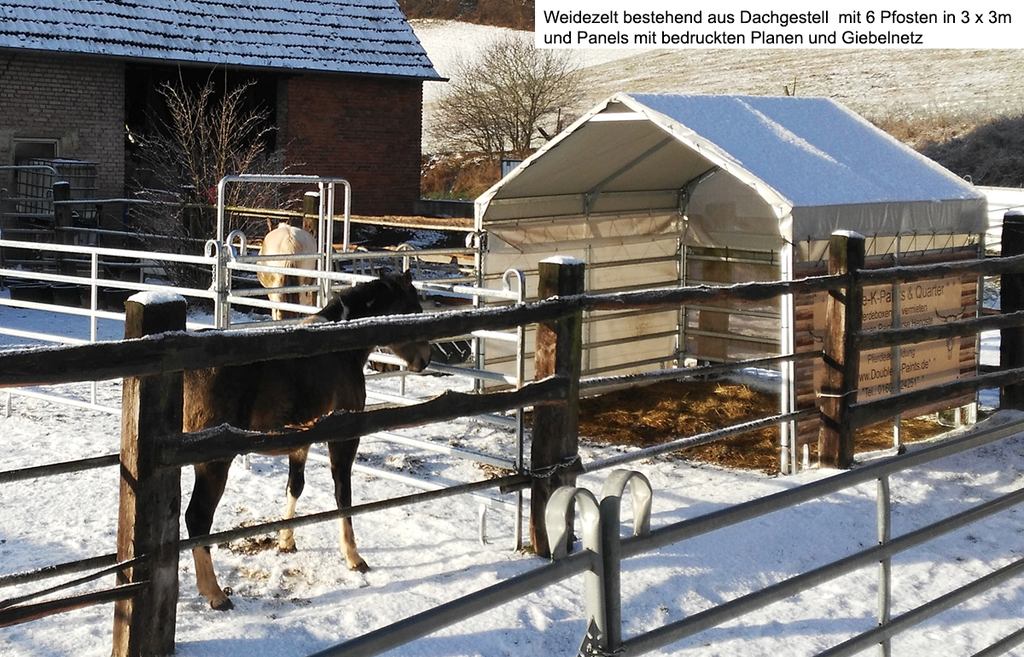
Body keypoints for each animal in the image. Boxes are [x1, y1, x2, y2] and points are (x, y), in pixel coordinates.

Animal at [183, 271, 432, 610]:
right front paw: (353, 557)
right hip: (214, 462)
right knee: (198, 517)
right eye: (414, 310)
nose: (426, 358)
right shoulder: (343, 437)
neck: (338, 351)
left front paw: (286, 541)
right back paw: (215, 592)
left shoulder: (302, 439)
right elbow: (343, 495)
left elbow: (295, 486)